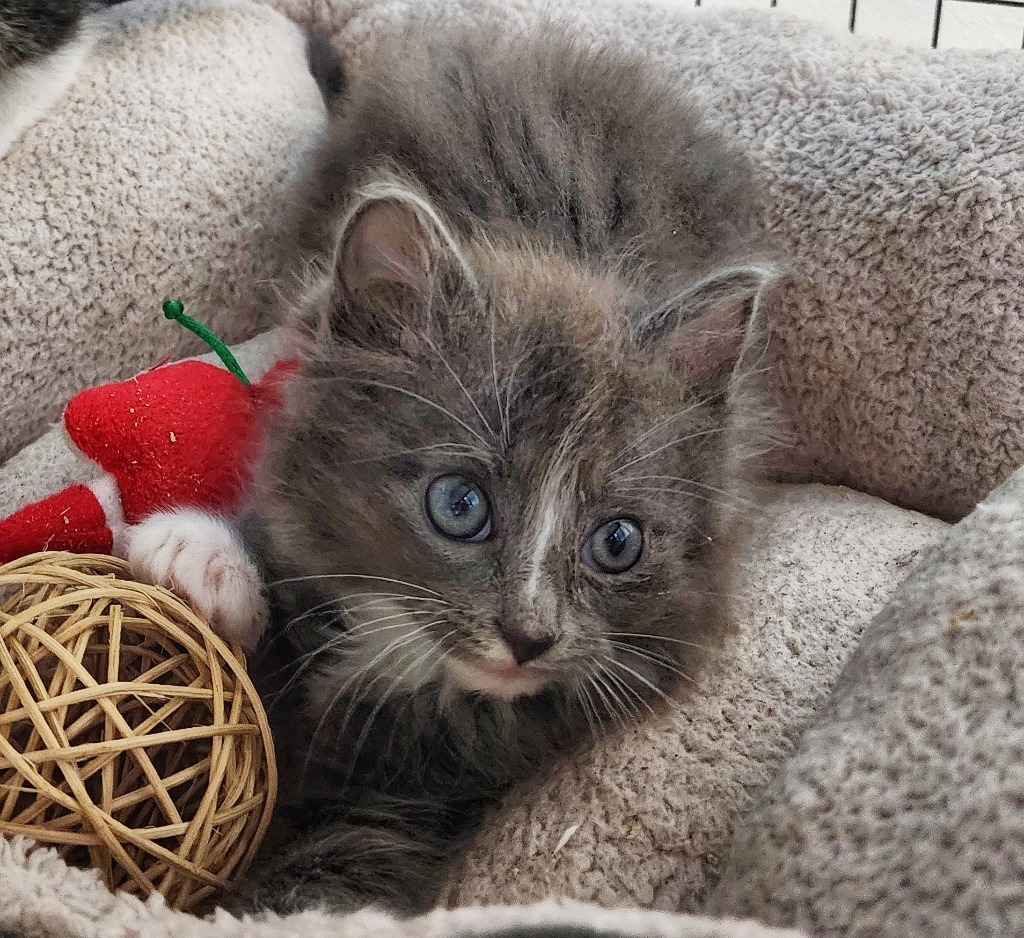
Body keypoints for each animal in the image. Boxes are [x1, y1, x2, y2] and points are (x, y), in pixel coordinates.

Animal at [123, 18, 778, 921]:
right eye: (460, 505)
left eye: (617, 543)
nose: (530, 636)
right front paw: (202, 559)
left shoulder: (426, 783)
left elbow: (353, 847)